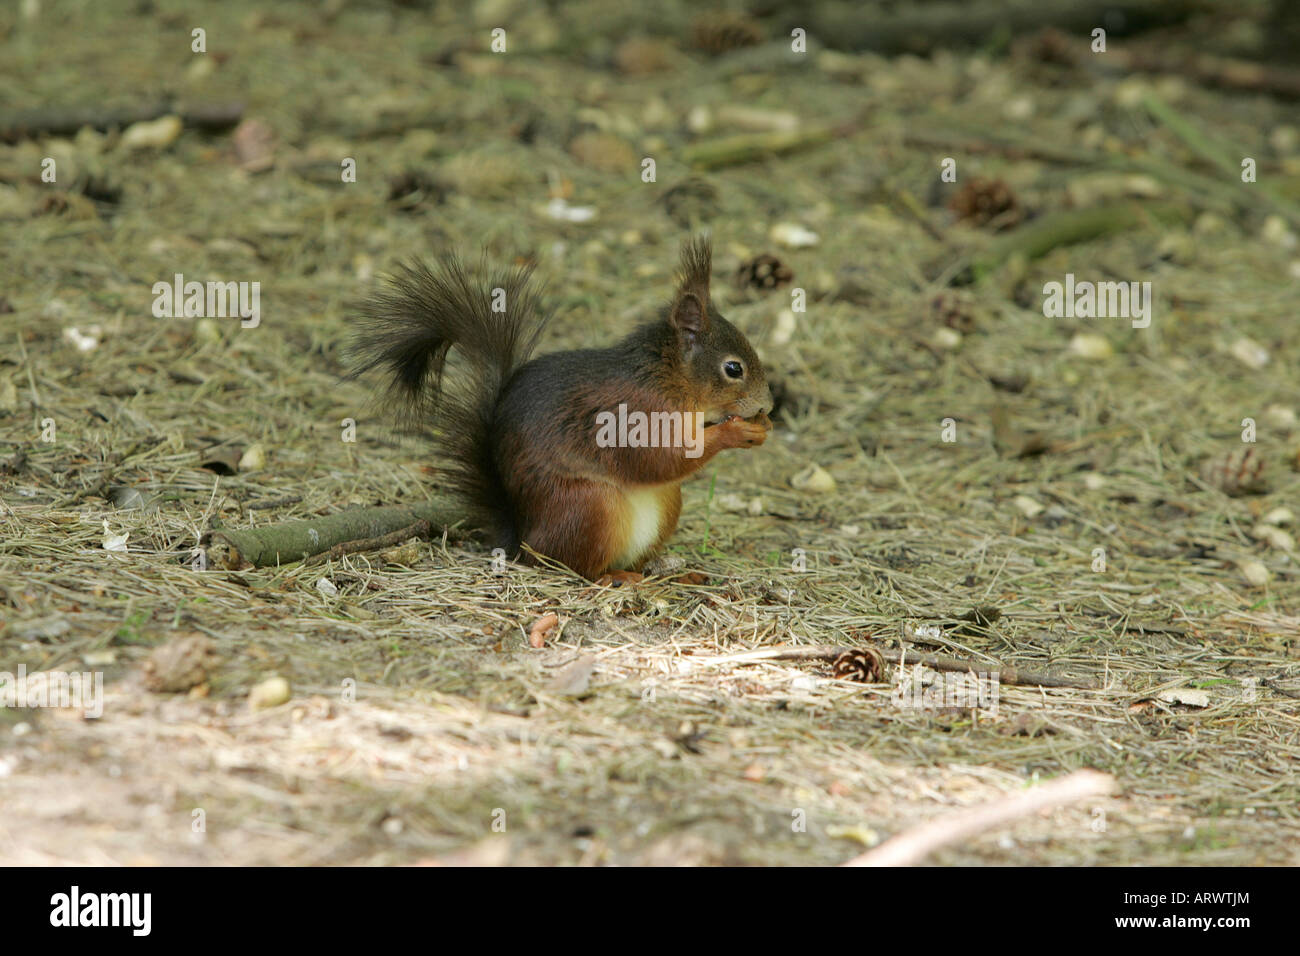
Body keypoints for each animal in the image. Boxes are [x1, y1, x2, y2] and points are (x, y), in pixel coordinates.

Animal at [348, 236, 773, 582]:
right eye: (733, 368)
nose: (768, 404)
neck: (667, 378)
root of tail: (521, 538)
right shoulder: (634, 413)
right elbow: (659, 459)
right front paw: (735, 431)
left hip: (666, 503)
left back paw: (668, 572)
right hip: (589, 506)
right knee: (573, 566)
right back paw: (616, 578)